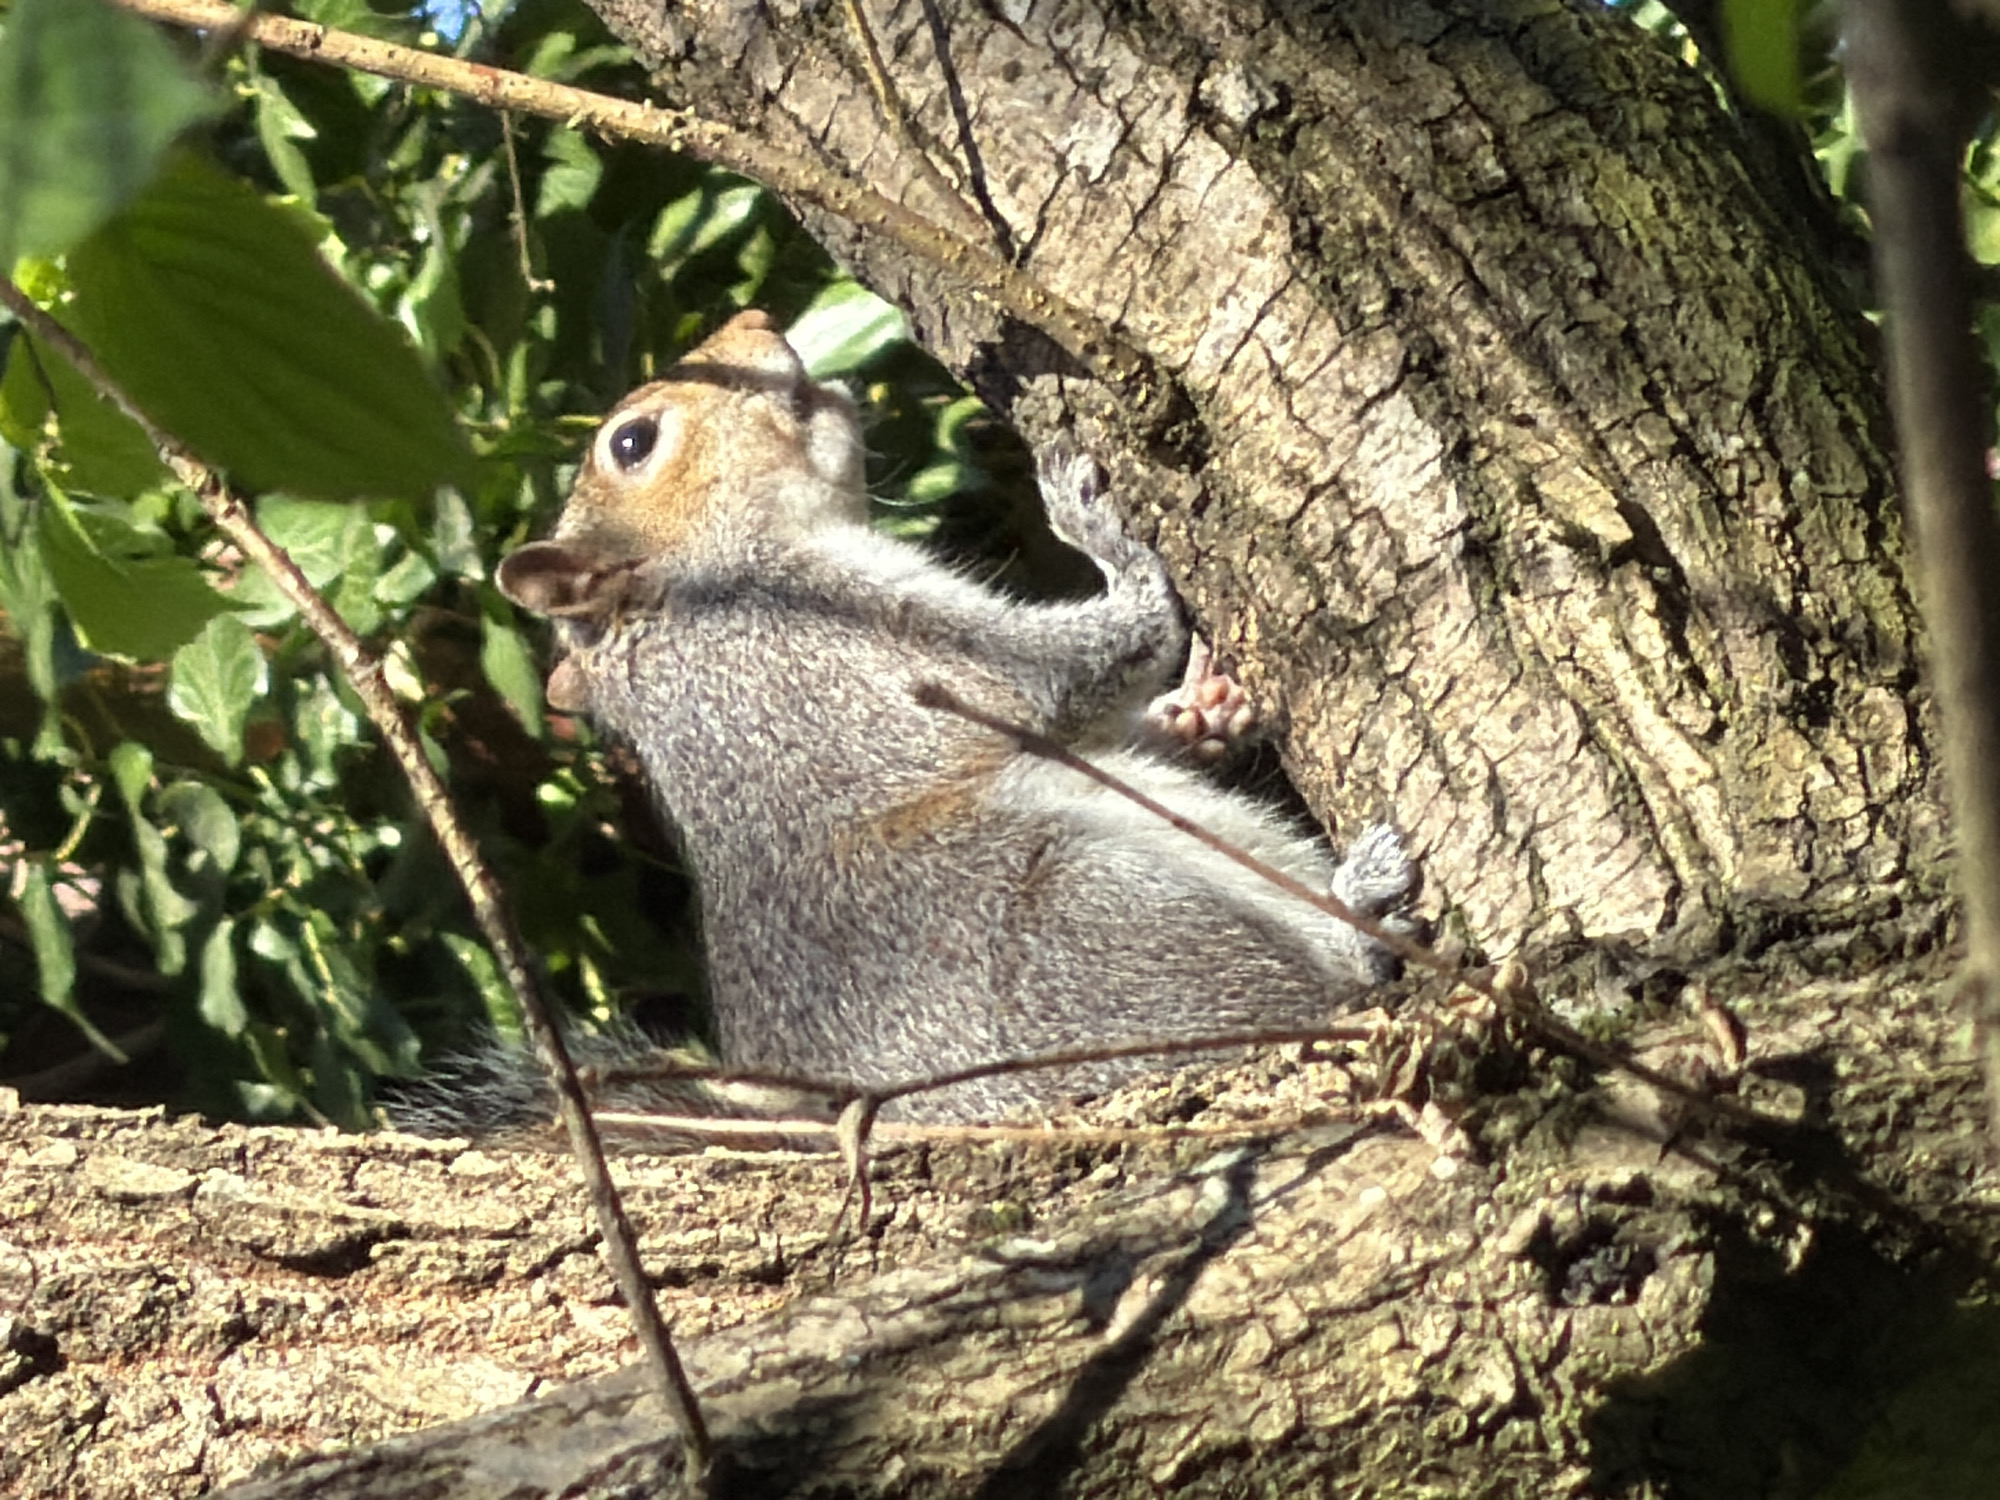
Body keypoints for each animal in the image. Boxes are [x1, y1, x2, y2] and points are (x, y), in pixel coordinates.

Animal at [444, 309, 1415, 1128]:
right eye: (633, 442)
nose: (754, 318)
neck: (701, 593)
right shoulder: (836, 652)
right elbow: (1077, 667)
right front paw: (1097, 529)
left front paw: (1204, 708)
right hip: (1092, 911)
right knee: (1316, 1003)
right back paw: (1357, 919)